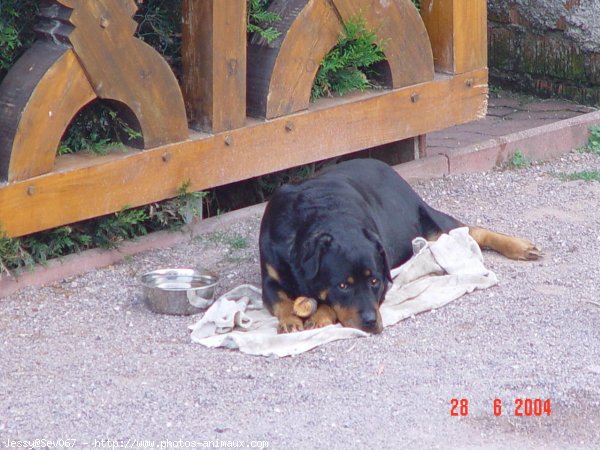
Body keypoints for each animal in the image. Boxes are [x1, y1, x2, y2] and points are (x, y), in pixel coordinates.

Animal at [260, 158, 540, 334]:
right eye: (343, 285)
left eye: (375, 282)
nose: (371, 321)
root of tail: (386, 166)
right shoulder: (269, 279)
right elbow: (280, 300)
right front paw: (290, 319)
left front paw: (319, 315)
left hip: (430, 222)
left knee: (472, 232)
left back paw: (519, 247)